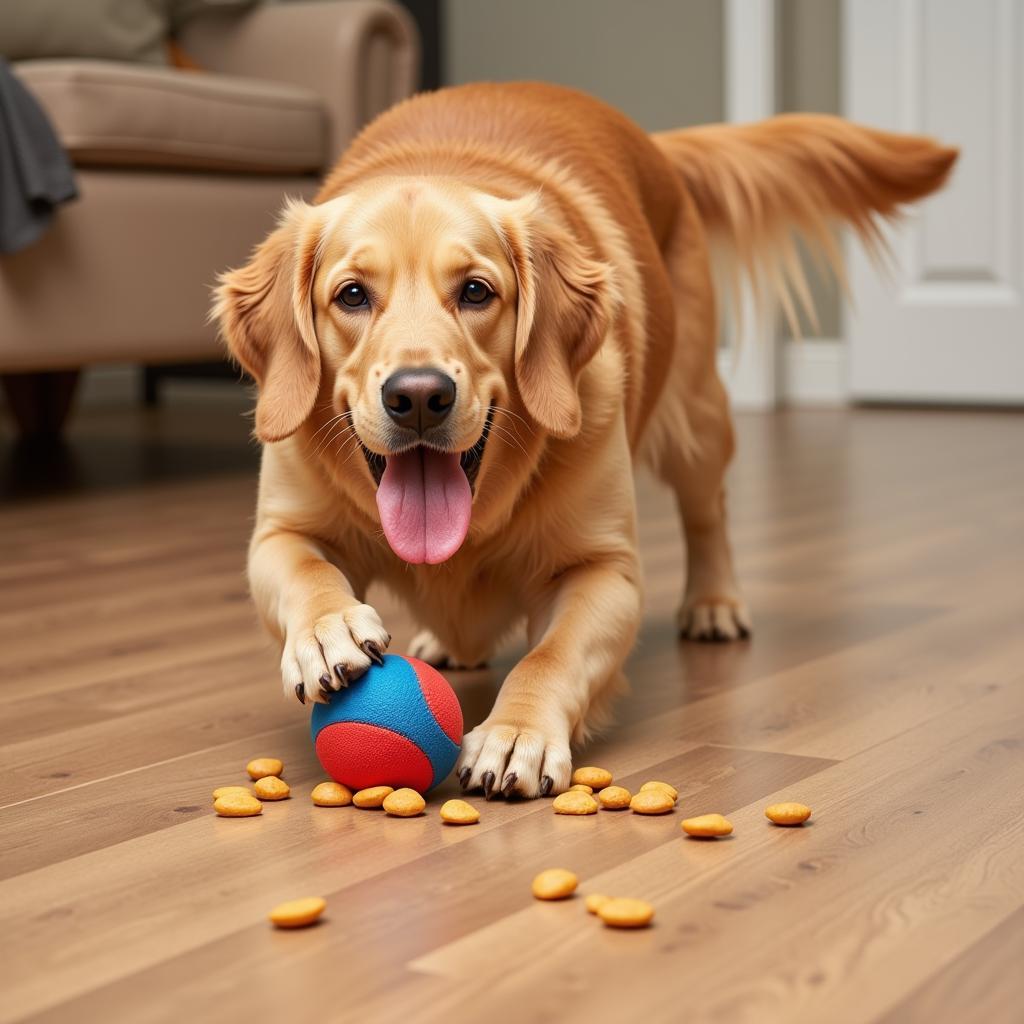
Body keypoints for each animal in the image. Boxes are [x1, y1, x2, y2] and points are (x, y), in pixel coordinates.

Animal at [211, 79, 954, 798]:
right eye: (352, 296)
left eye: (476, 291)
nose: (418, 396)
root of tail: (655, 145)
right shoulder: (279, 531)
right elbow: (306, 570)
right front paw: (328, 629)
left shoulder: (605, 570)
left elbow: (552, 654)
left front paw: (515, 733)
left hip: (697, 417)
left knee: (707, 511)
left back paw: (713, 604)